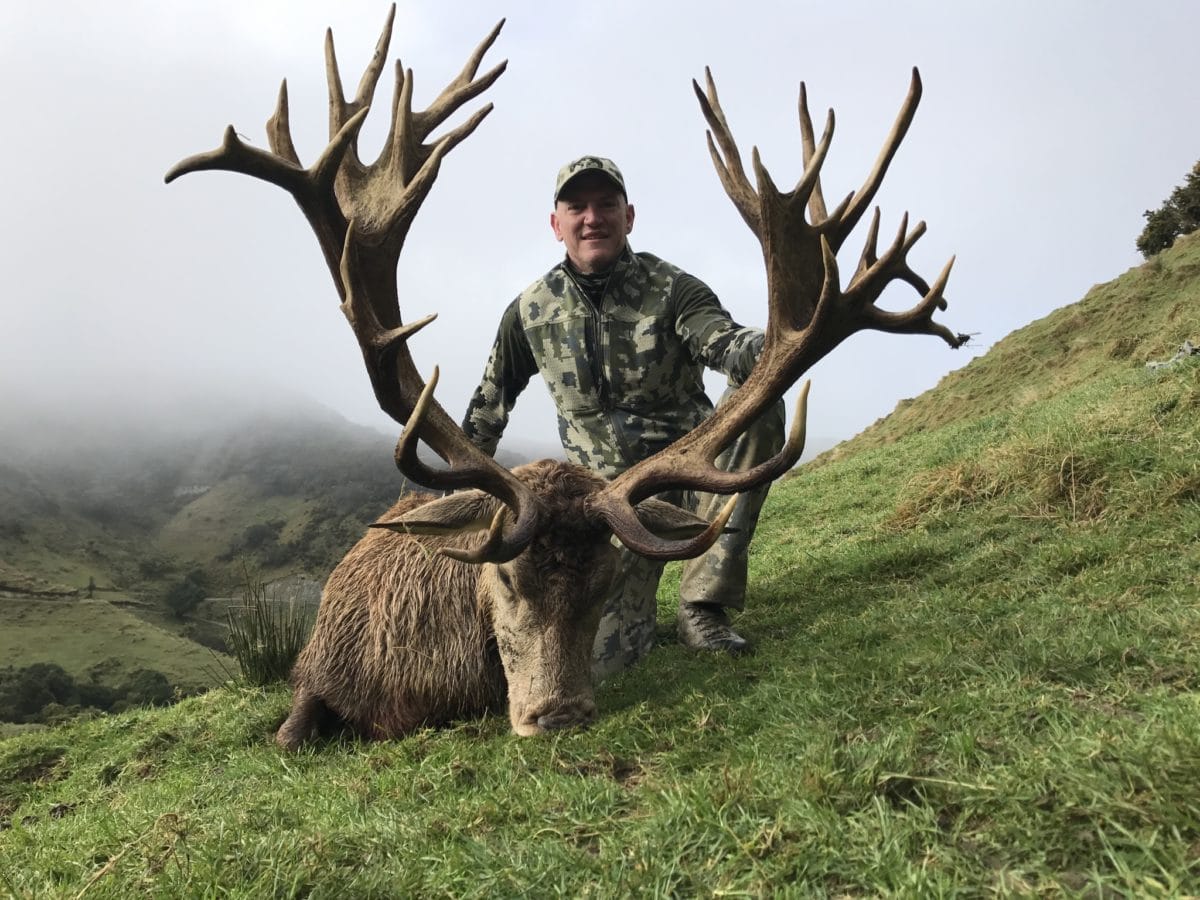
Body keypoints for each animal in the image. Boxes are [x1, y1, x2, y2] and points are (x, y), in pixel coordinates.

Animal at [165, 5, 966, 748]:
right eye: (502, 575)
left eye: (606, 581)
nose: (559, 714)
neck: (416, 692)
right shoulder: (312, 671)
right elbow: (289, 735)